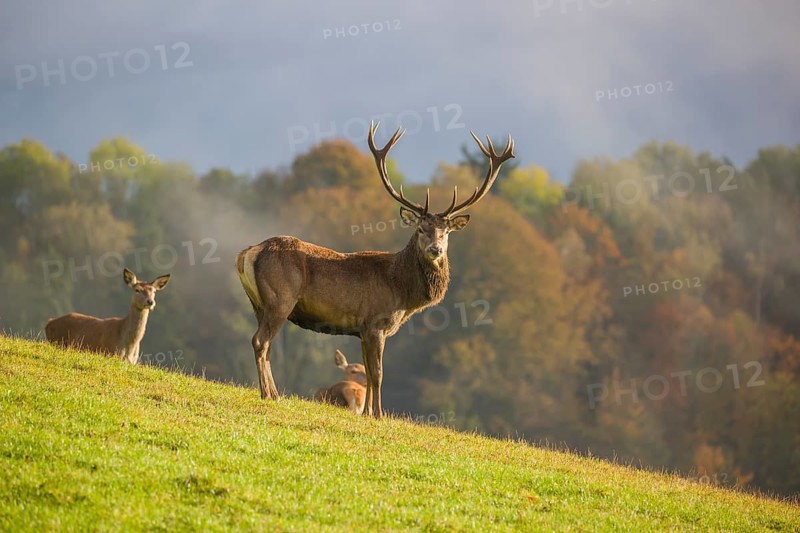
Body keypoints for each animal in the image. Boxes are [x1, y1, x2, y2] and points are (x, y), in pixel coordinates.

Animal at [236, 121, 514, 417]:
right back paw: (269, 394)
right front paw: (380, 414)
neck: (402, 292)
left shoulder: (361, 330)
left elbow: (368, 373)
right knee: (260, 341)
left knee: (263, 344)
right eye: (420, 229)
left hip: (258, 304)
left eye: (446, 232)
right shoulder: (375, 323)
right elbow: (379, 373)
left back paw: (273, 393)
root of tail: (248, 252)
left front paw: (367, 413)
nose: (435, 250)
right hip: (280, 299)